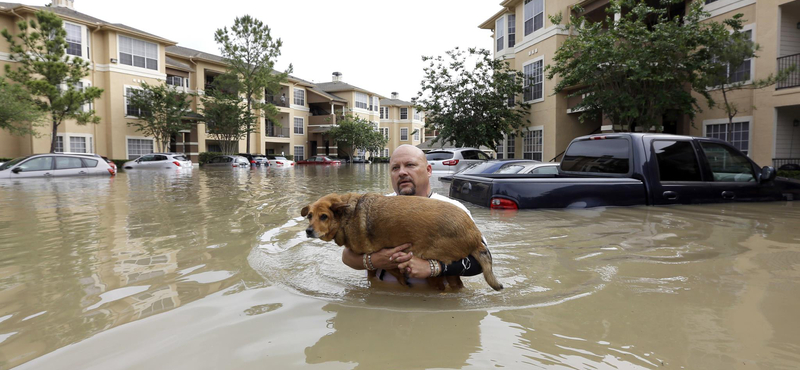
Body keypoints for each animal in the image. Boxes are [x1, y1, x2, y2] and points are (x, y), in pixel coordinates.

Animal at [300, 192, 500, 290]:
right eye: (309, 216)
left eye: (324, 216)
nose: (308, 231)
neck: (347, 216)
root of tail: (475, 233)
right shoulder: (370, 261)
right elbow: (372, 274)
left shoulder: (386, 254)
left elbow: (392, 269)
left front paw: (403, 279)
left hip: (433, 265)